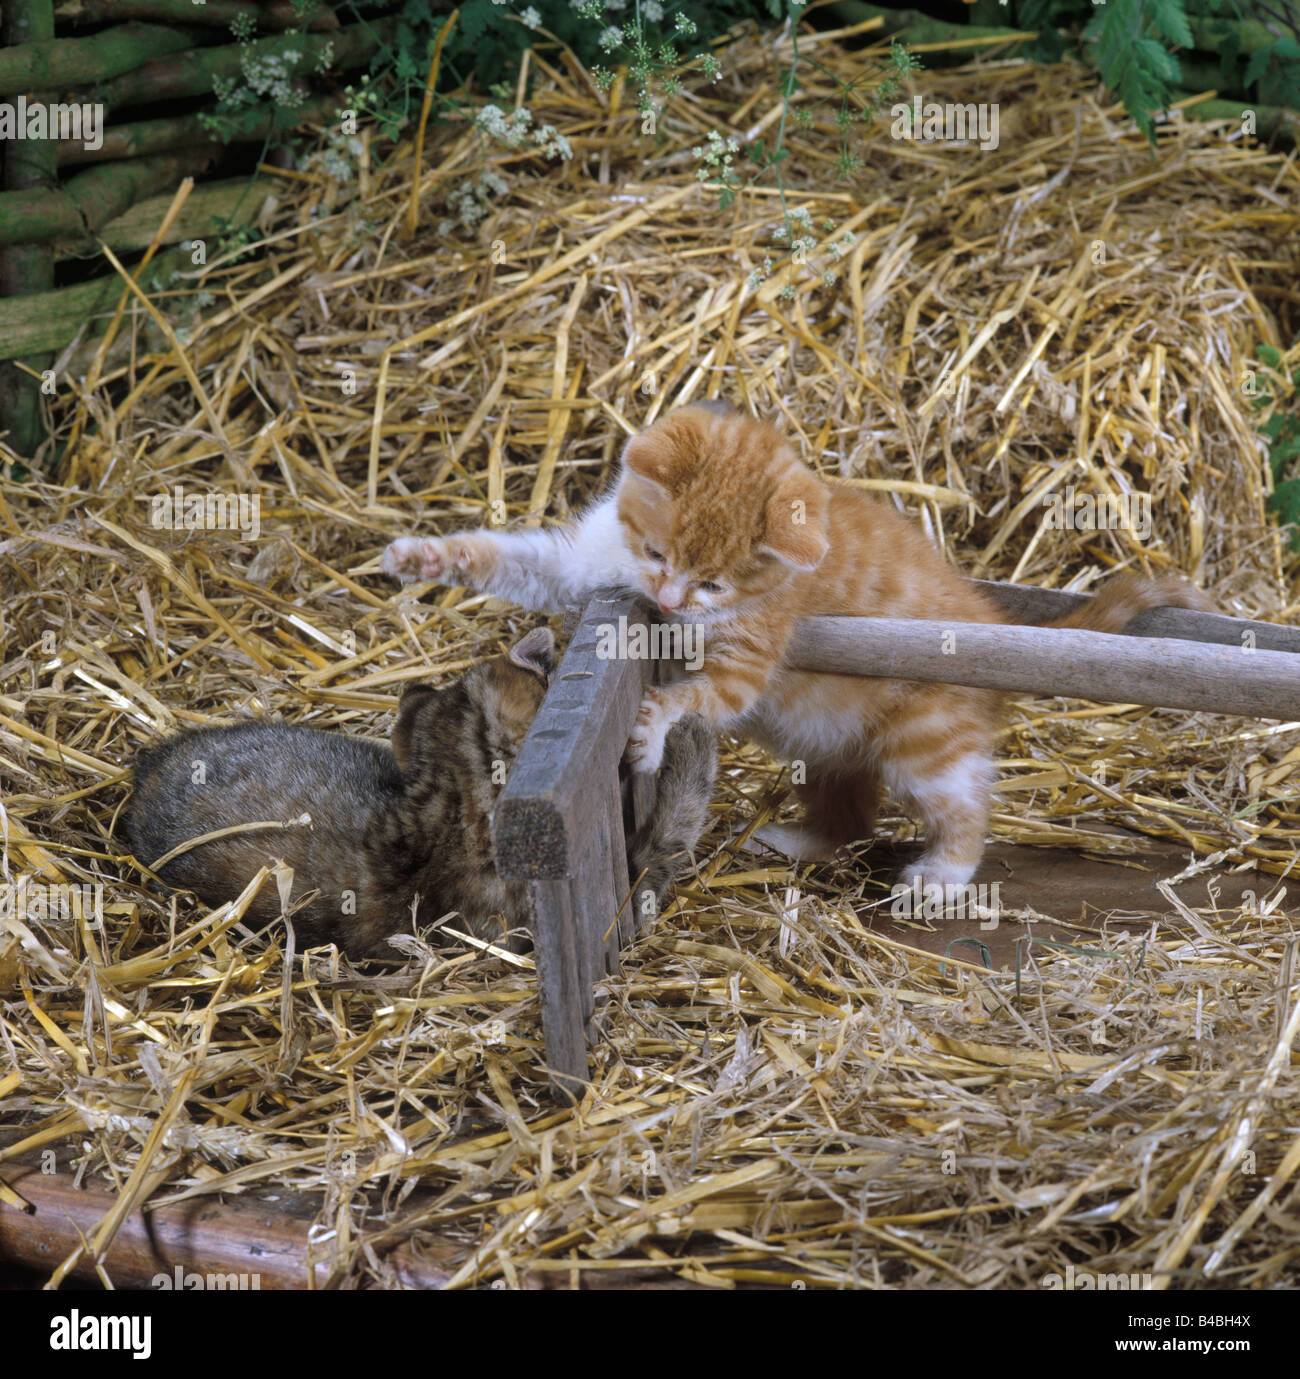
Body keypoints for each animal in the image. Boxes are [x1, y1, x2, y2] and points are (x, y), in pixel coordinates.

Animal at [383, 402, 1207, 893]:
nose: (671, 603)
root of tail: (997, 628)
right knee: (851, 816)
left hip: (928, 741)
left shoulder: (751, 653)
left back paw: (941, 876)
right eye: (656, 553)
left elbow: (700, 692)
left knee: (967, 805)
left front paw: (650, 729)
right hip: (831, 749)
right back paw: (794, 841)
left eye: (713, 583)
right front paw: (421, 556)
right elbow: (511, 560)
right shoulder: (581, 567)